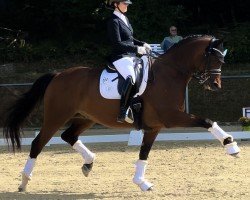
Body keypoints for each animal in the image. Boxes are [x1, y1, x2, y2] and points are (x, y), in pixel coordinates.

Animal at [2, 35, 240, 191]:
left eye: (222, 61)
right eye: (214, 59)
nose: (215, 85)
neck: (170, 72)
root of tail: (58, 75)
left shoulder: (154, 126)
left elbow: (144, 153)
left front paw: (142, 182)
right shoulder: (171, 117)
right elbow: (207, 121)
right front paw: (231, 146)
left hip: (86, 117)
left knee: (68, 135)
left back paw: (89, 162)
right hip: (56, 116)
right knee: (38, 143)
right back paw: (24, 181)